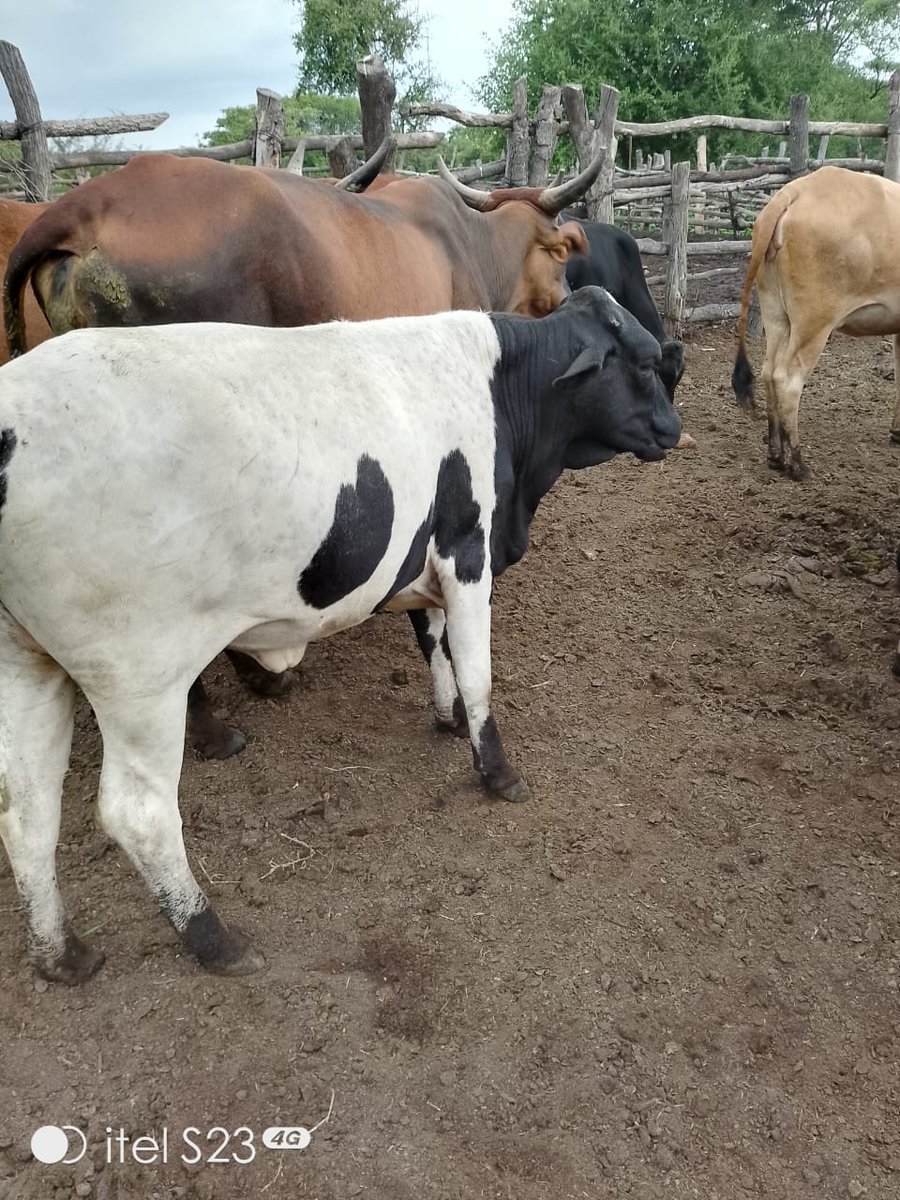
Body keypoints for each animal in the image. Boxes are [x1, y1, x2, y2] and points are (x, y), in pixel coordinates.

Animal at [0, 287, 681, 983]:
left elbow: (436, 647)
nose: (672, 428)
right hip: (138, 677)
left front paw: (449, 719)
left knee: (26, 811)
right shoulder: (467, 551)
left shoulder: (421, 562)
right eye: (645, 362)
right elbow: (478, 672)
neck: (503, 388)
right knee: (138, 814)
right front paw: (496, 771)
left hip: (26, 663)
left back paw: (62, 953)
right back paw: (215, 939)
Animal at [732, 165, 900, 480]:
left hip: (776, 313)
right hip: (814, 322)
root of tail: (791, 192)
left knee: (769, 371)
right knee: (788, 379)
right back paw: (796, 463)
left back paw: (775, 454)